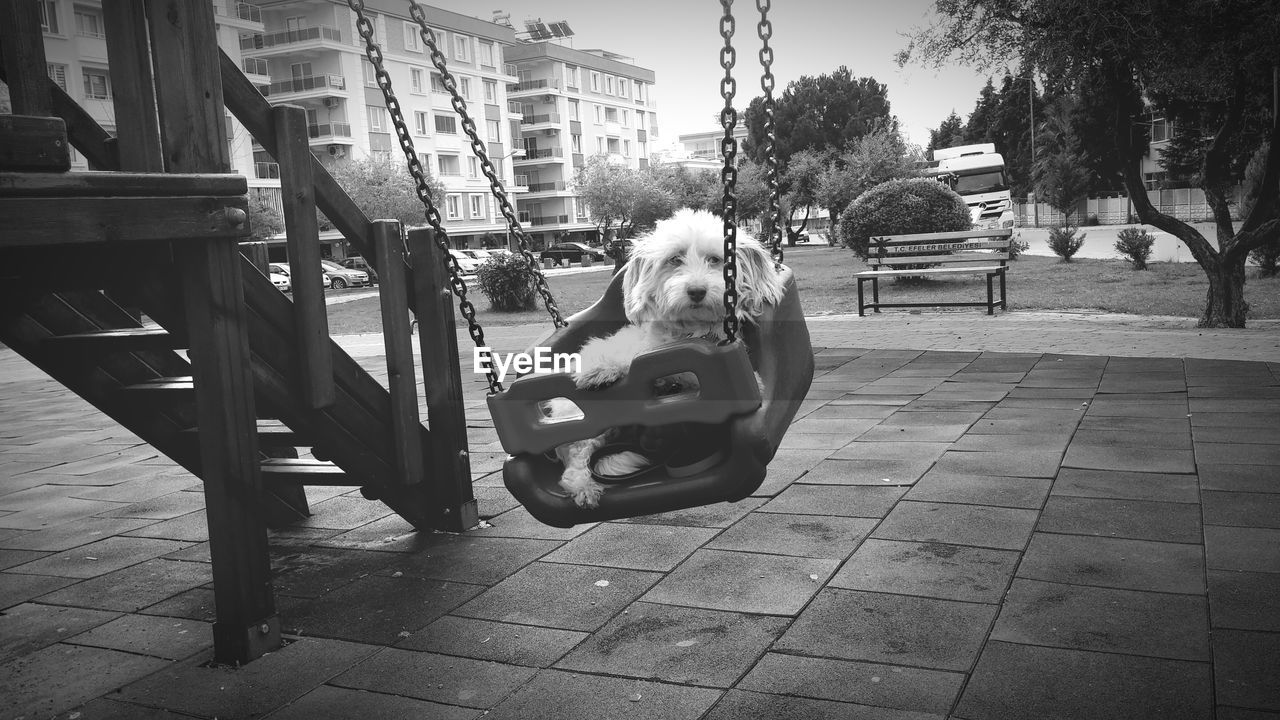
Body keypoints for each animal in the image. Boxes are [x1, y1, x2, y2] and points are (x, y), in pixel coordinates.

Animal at [552, 207, 783, 504]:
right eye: (675, 259)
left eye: (715, 259)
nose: (696, 291)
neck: (687, 332)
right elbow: (616, 355)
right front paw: (599, 370)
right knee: (579, 456)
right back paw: (584, 486)